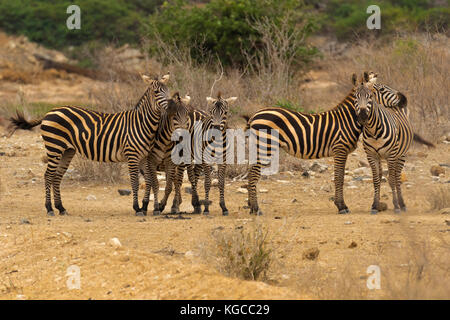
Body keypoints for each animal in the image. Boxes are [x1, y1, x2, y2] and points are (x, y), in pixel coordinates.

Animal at [8, 73, 171, 216]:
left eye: (168, 91)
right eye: (156, 92)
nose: (171, 106)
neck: (142, 124)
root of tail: (49, 112)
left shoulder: (144, 157)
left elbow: (149, 181)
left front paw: (144, 207)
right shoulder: (132, 156)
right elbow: (135, 182)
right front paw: (137, 209)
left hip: (67, 150)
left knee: (57, 176)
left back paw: (61, 208)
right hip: (54, 148)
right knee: (48, 175)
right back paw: (49, 208)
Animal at [243, 72, 408, 215]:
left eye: (371, 95)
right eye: (382, 89)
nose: (404, 100)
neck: (348, 119)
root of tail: (254, 115)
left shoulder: (341, 152)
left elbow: (339, 177)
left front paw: (340, 204)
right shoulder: (340, 150)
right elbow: (339, 178)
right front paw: (342, 206)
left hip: (258, 147)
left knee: (250, 172)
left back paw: (251, 206)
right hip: (264, 146)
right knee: (254, 173)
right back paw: (256, 209)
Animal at [354, 71, 434, 214]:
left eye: (370, 96)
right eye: (355, 97)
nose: (404, 99)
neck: (373, 130)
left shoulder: (391, 155)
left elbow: (391, 179)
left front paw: (396, 205)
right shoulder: (371, 156)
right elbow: (376, 180)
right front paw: (374, 206)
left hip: (401, 155)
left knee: (397, 176)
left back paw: (402, 204)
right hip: (382, 157)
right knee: (382, 175)